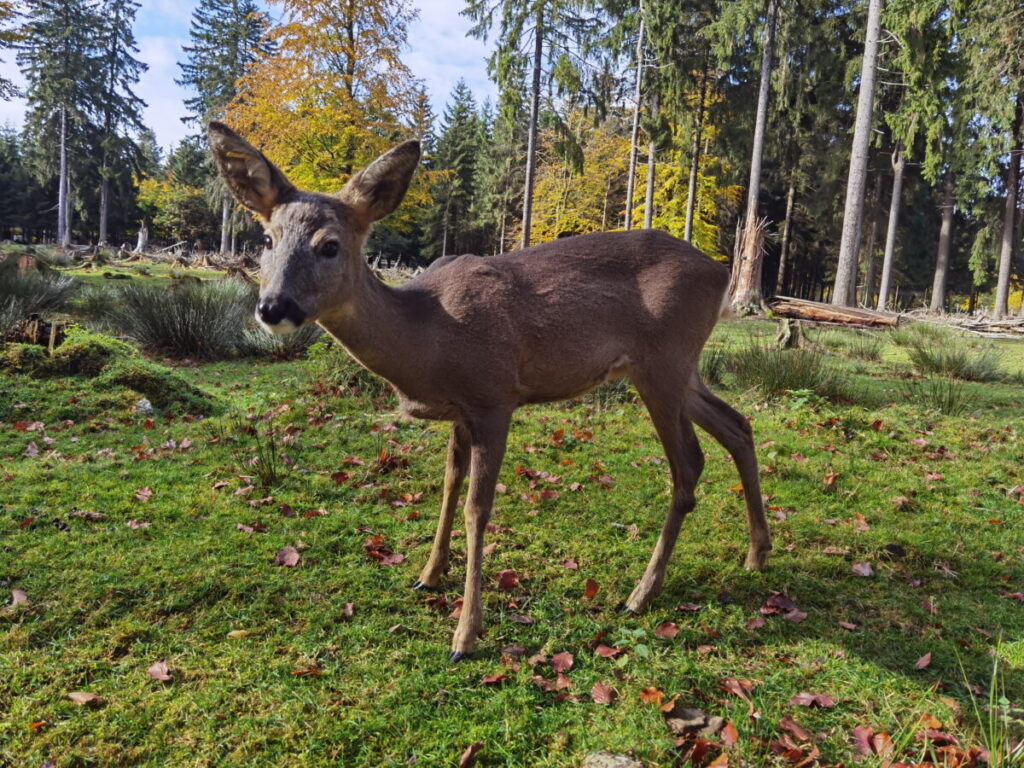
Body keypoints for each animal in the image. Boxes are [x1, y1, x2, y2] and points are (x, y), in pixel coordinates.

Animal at [207, 121, 770, 663]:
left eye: (329, 245)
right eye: (267, 240)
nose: (273, 307)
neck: (429, 337)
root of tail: (721, 274)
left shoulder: (494, 396)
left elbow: (479, 509)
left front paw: (465, 635)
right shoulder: (460, 411)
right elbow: (448, 486)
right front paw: (428, 574)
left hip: (662, 362)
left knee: (689, 463)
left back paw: (641, 593)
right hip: (680, 368)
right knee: (738, 425)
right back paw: (756, 554)